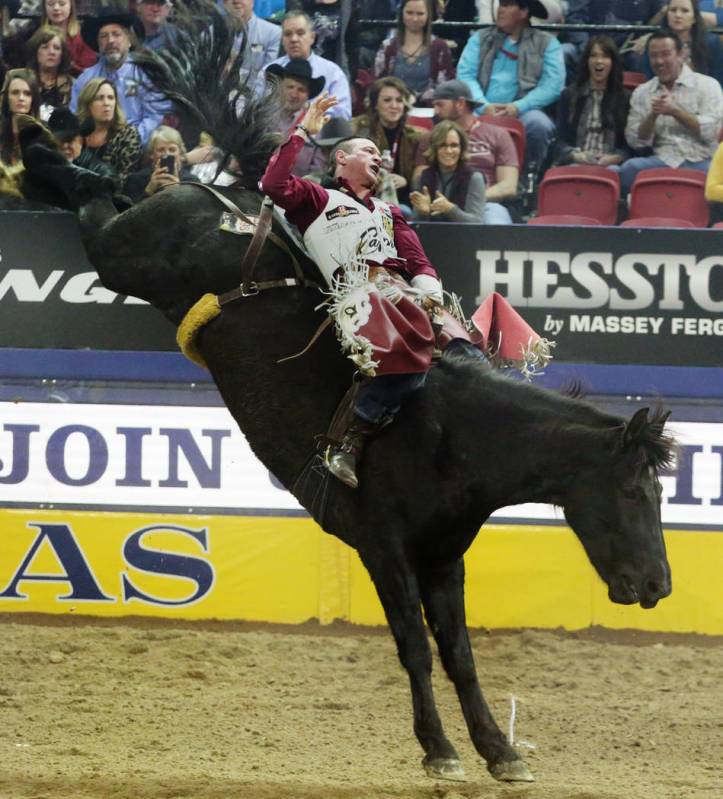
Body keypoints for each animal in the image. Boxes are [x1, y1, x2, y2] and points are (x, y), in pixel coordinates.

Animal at [21, 3, 680, 784]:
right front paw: (440, 750)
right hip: (125, 255)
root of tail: (227, 196)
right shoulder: (383, 547)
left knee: (108, 189)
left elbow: (459, 654)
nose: (658, 587)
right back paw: (39, 146)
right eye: (636, 491)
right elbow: (416, 648)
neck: (453, 433)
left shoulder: (443, 556)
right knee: (93, 199)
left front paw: (500, 751)